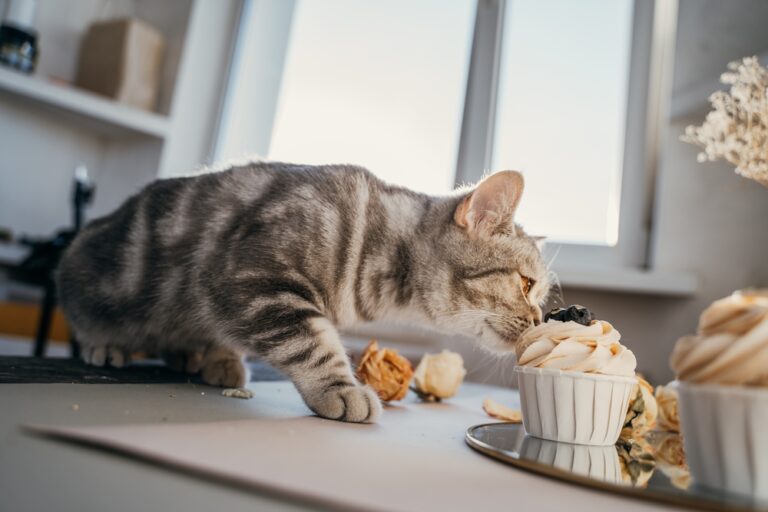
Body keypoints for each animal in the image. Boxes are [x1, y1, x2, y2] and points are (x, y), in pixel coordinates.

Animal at [58, 163, 552, 424]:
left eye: (540, 295)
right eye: (525, 284)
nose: (538, 322)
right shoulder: (252, 278)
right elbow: (313, 344)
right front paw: (341, 388)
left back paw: (202, 357)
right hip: (86, 273)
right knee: (82, 313)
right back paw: (106, 345)